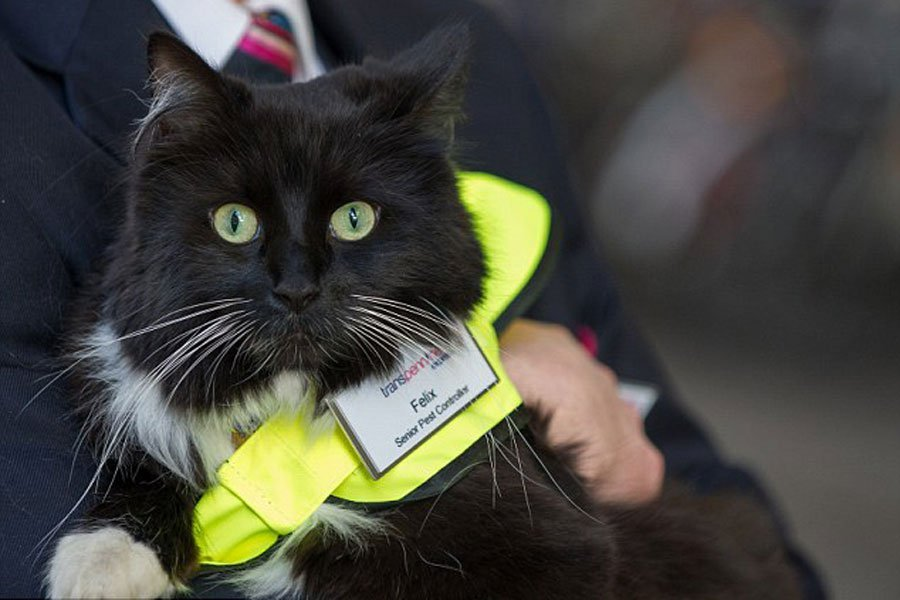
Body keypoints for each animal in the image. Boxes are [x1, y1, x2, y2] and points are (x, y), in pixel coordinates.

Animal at [45, 28, 800, 600]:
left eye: (355, 220)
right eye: (236, 222)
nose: (297, 288)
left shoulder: (563, 549)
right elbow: (150, 470)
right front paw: (101, 564)